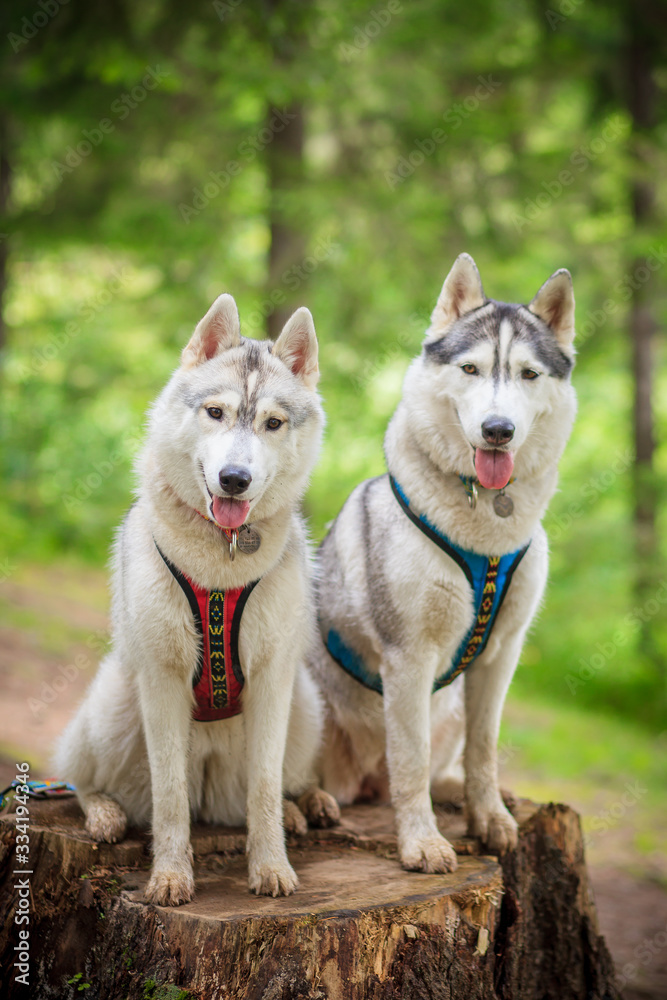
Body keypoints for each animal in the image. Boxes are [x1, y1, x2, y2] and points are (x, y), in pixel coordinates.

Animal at [56, 294, 340, 908]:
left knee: (286, 781)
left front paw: (271, 865)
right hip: (115, 700)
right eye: (215, 412)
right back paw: (104, 813)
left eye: (273, 423)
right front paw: (169, 875)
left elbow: (264, 786)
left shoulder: (274, 680)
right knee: (81, 781)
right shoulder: (161, 682)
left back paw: (306, 805)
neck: (222, 557)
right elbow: (168, 799)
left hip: (306, 703)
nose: (234, 479)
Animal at [310, 254, 576, 872]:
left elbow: (485, 749)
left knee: (444, 763)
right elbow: (410, 761)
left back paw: (460, 792)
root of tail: (362, 784)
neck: (486, 531)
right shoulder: (409, 656)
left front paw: (489, 816)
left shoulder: (499, 656)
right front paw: (421, 842)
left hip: (450, 706)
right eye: (471, 369)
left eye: (529, 375)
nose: (498, 430)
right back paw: (304, 804)